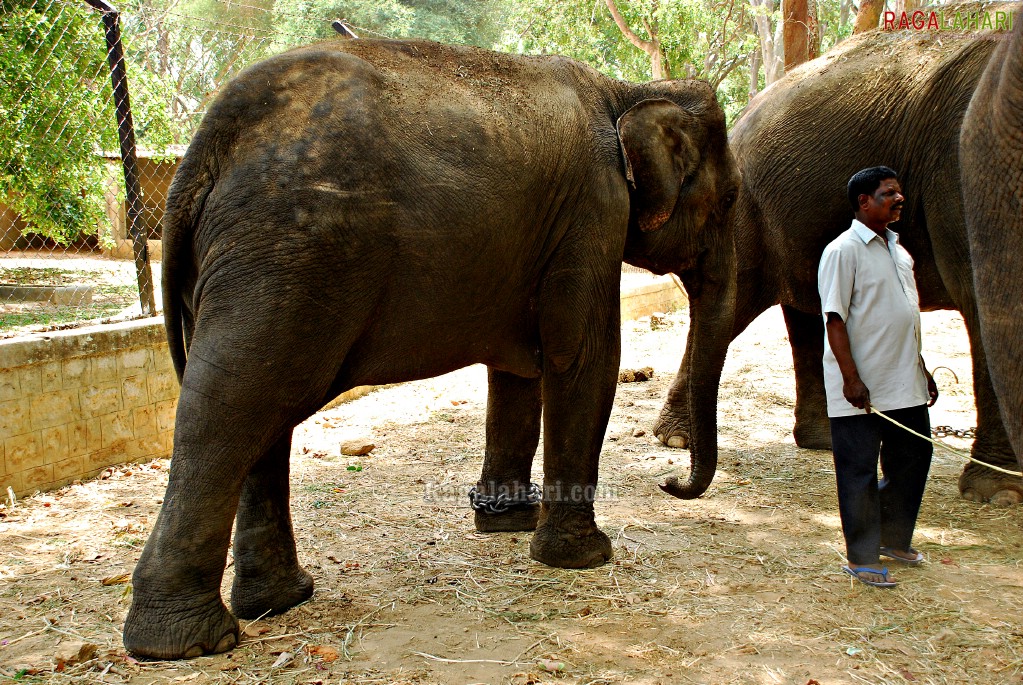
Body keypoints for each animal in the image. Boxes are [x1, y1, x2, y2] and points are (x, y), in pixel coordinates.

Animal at [123, 38, 740, 658]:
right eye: (730, 199)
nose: (669, 481)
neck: (626, 90)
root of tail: (203, 151)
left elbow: (518, 370)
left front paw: (505, 523)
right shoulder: (593, 208)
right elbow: (583, 358)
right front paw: (585, 558)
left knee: (260, 414)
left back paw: (279, 602)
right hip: (286, 254)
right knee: (231, 406)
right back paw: (186, 644)